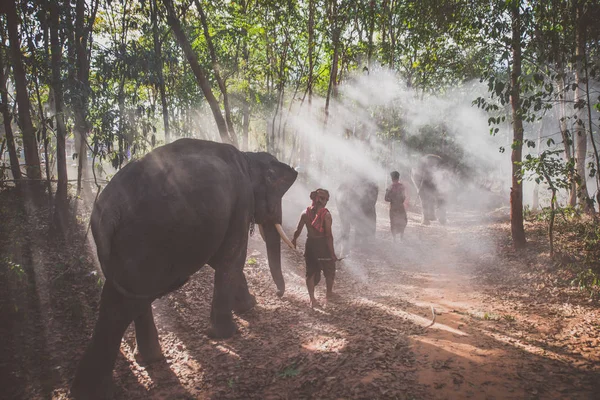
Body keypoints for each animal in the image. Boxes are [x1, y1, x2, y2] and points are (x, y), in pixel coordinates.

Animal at [70, 139, 298, 398]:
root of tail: (108, 209)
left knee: (126, 297)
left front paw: (248, 307)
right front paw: (226, 333)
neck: (247, 156)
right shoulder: (241, 201)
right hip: (147, 237)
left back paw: (140, 363)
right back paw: (100, 389)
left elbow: (223, 261)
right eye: (277, 195)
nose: (279, 294)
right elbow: (232, 259)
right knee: (124, 304)